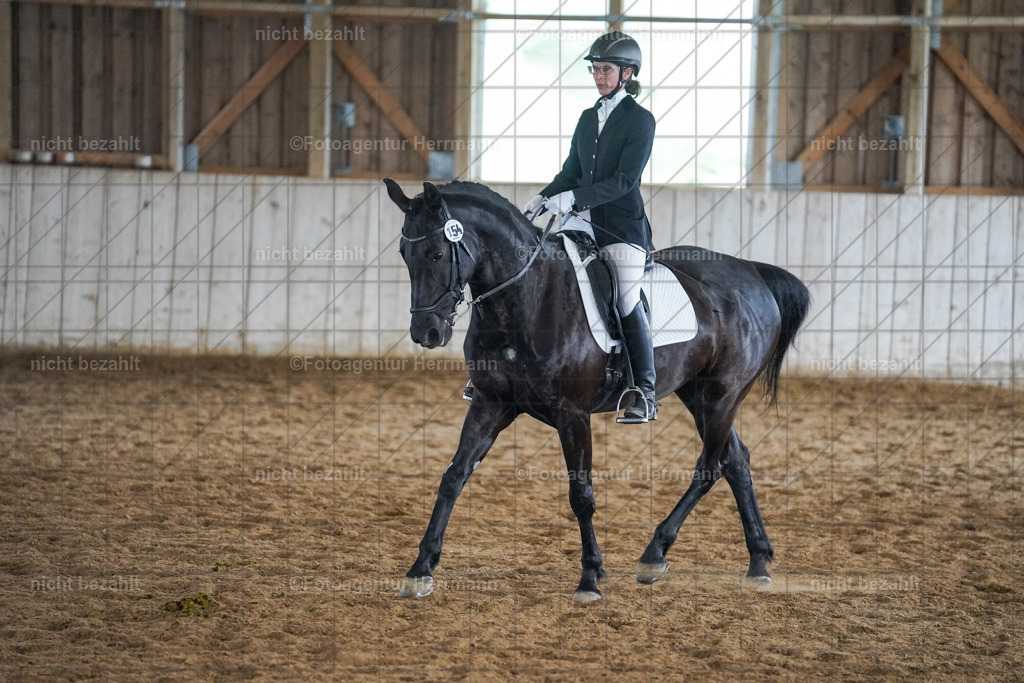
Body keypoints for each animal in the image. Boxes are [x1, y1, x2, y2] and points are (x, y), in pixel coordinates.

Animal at [384, 178, 810, 603]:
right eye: (405, 253)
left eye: (438, 253)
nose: (426, 333)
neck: (526, 296)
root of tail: (751, 272)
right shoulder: (491, 404)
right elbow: (453, 476)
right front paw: (420, 568)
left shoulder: (572, 413)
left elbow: (581, 495)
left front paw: (589, 577)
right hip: (698, 394)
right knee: (736, 460)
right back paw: (757, 563)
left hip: (723, 395)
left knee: (709, 467)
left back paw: (654, 555)